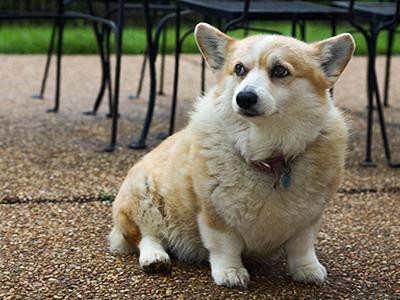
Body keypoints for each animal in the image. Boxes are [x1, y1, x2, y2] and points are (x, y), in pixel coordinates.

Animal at [108, 24, 354, 288]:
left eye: (280, 70)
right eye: (239, 69)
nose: (244, 97)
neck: (267, 153)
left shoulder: (309, 218)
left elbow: (302, 247)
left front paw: (307, 270)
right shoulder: (214, 214)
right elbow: (226, 246)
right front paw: (231, 272)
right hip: (142, 198)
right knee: (147, 235)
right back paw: (155, 258)